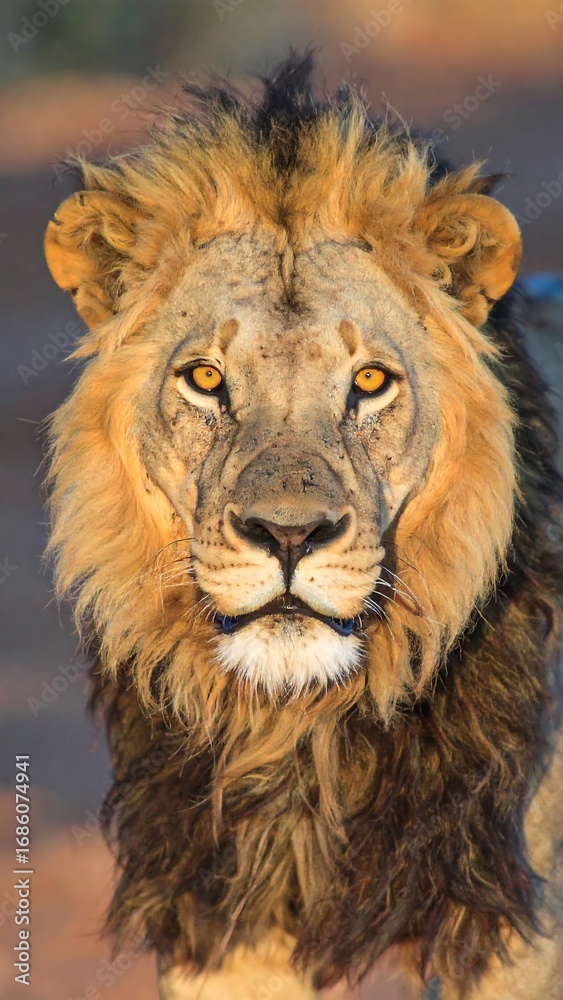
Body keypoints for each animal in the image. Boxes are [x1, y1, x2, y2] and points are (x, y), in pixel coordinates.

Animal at [43, 55, 563, 999]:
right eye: (205, 378)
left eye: (370, 382)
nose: (288, 537)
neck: (301, 731)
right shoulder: (223, 916)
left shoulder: (513, 927)